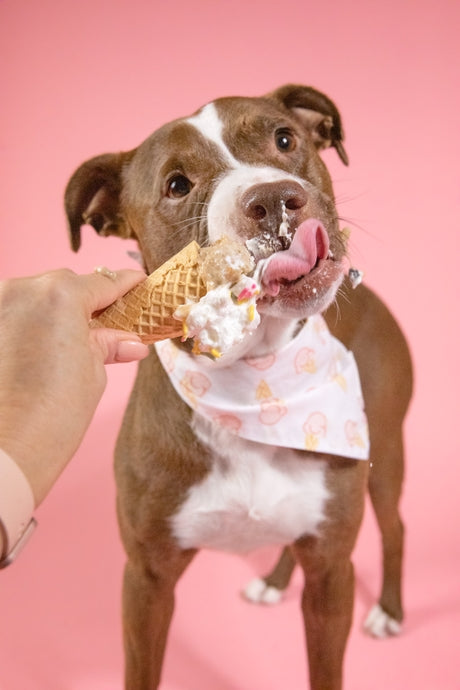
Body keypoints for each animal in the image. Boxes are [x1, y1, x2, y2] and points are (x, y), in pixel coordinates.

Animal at [64, 83, 414, 684]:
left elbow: (327, 667)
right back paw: (273, 580)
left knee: (393, 529)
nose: (273, 199)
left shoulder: (332, 573)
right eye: (177, 185)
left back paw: (389, 610)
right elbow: (142, 668)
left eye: (285, 139)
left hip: (385, 454)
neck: (256, 381)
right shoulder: (147, 580)